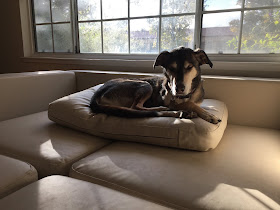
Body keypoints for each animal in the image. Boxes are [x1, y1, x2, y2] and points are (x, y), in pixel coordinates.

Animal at [89, 46, 221, 124]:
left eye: (189, 67)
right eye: (171, 68)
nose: (179, 89)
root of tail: (97, 94)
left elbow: (193, 104)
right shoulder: (171, 101)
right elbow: (189, 104)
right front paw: (209, 115)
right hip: (144, 85)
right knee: (135, 107)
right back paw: (168, 109)